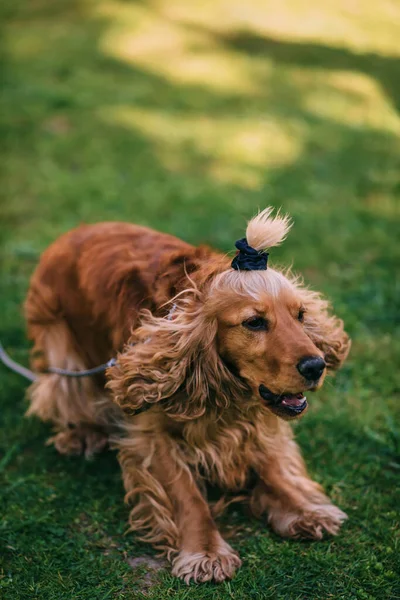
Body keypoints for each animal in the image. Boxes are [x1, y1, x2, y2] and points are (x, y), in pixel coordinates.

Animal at [24, 210, 350, 580]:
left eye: (300, 315)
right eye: (254, 322)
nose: (316, 366)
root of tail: (73, 232)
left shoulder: (260, 418)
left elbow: (273, 463)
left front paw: (303, 509)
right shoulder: (151, 434)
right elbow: (186, 494)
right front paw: (205, 551)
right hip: (61, 350)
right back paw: (80, 434)